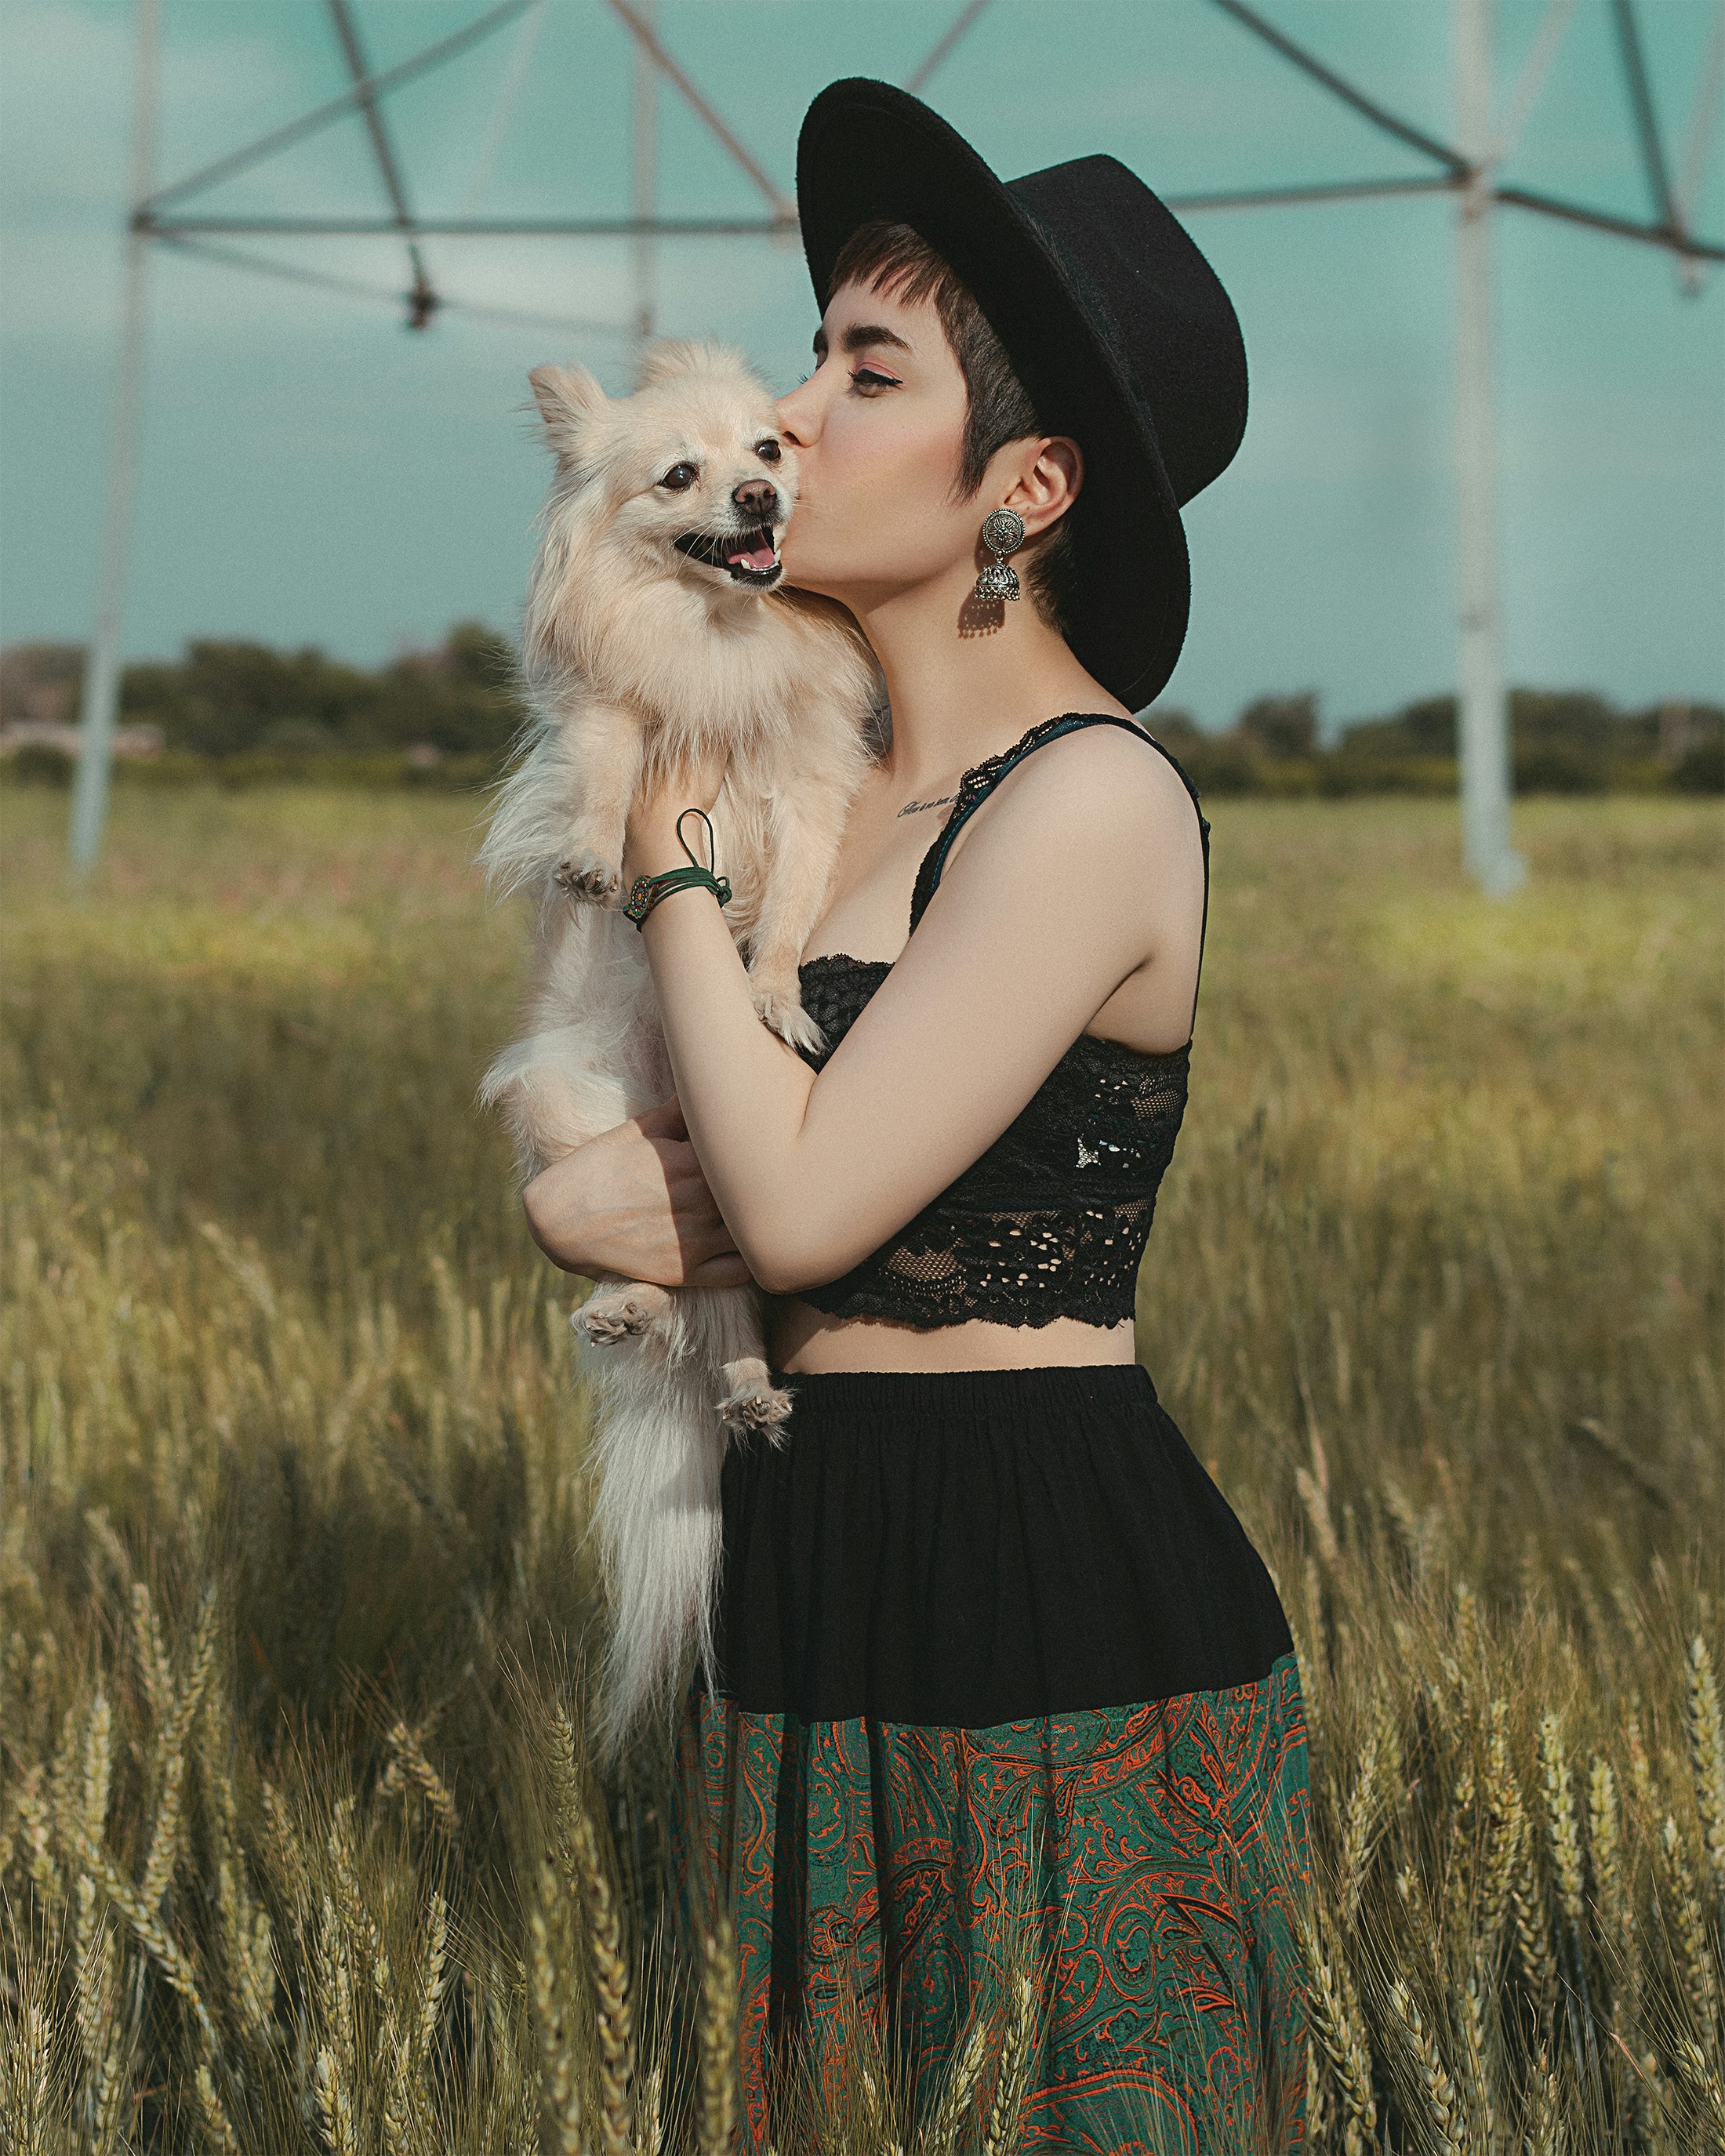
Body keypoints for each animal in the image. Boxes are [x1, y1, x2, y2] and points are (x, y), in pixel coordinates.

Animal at [478, 336, 884, 1751]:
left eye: (767, 452)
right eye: (678, 478)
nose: (762, 500)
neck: (725, 638)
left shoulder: (813, 789)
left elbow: (794, 903)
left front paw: (769, 997)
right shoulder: (617, 712)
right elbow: (606, 765)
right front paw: (595, 858)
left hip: (734, 1229)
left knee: (723, 1318)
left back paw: (750, 1385)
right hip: (577, 1116)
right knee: (649, 1287)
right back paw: (624, 1307)